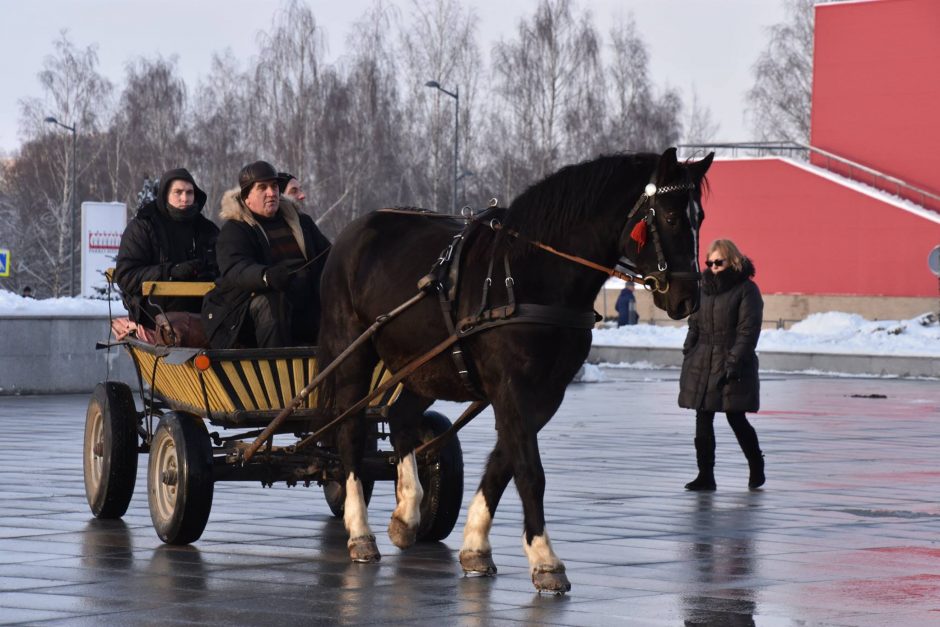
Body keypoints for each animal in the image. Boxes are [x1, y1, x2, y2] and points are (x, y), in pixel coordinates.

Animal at [316, 147, 712, 592]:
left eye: (700, 217)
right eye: (671, 217)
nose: (686, 298)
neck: (531, 276)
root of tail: (354, 231)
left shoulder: (545, 393)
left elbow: (504, 463)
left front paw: (475, 543)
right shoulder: (512, 388)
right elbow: (529, 470)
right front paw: (545, 558)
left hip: (422, 363)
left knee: (400, 416)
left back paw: (407, 513)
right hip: (353, 352)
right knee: (349, 432)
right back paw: (359, 531)